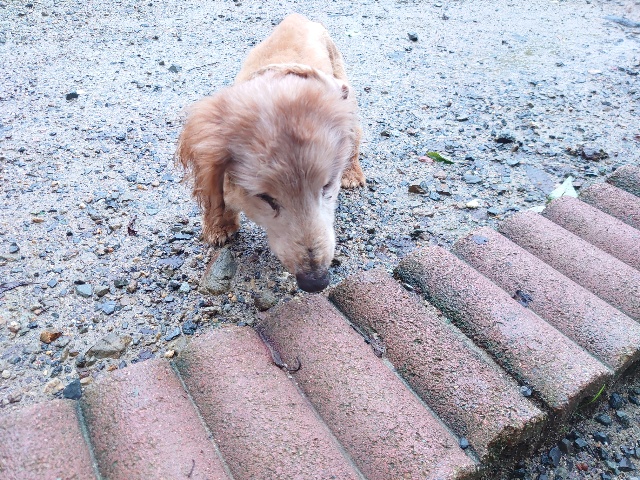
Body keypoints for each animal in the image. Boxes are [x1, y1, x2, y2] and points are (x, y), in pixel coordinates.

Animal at [176, 13, 365, 293]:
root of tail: (297, 16)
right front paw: (219, 225)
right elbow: (216, 192)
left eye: (327, 185)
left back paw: (352, 171)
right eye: (266, 198)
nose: (316, 282)